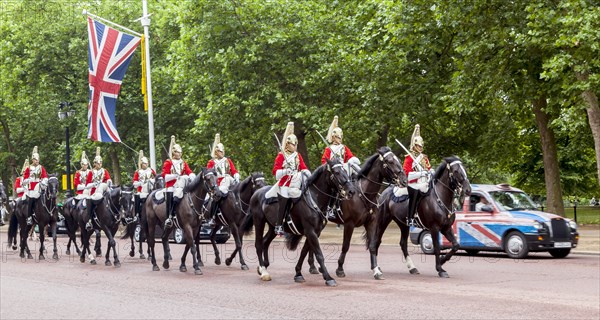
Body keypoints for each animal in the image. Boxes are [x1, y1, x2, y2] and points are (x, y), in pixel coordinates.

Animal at [326, 146, 406, 278]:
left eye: (398, 160)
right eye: (389, 161)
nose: (404, 180)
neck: (364, 193)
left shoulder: (371, 223)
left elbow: (372, 245)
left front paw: (376, 270)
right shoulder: (349, 224)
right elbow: (345, 246)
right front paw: (340, 269)